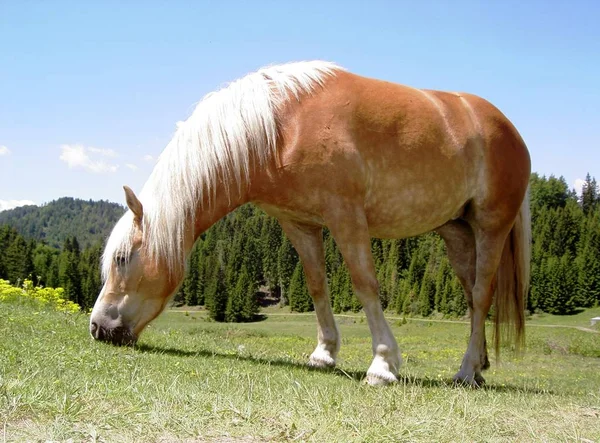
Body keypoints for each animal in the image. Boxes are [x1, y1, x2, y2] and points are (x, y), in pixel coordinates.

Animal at [89, 59, 528, 388]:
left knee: (482, 293)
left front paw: (383, 365)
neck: (282, 127)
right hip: (456, 232)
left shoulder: (346, 216)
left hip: (491, 225)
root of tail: (509, 129)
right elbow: (317, 286)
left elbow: (365, 284)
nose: (97, 327)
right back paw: (480, 366)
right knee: (472, 295)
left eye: (123, 259)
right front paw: (324, 354)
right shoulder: (300, 224)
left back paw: (466, 372)